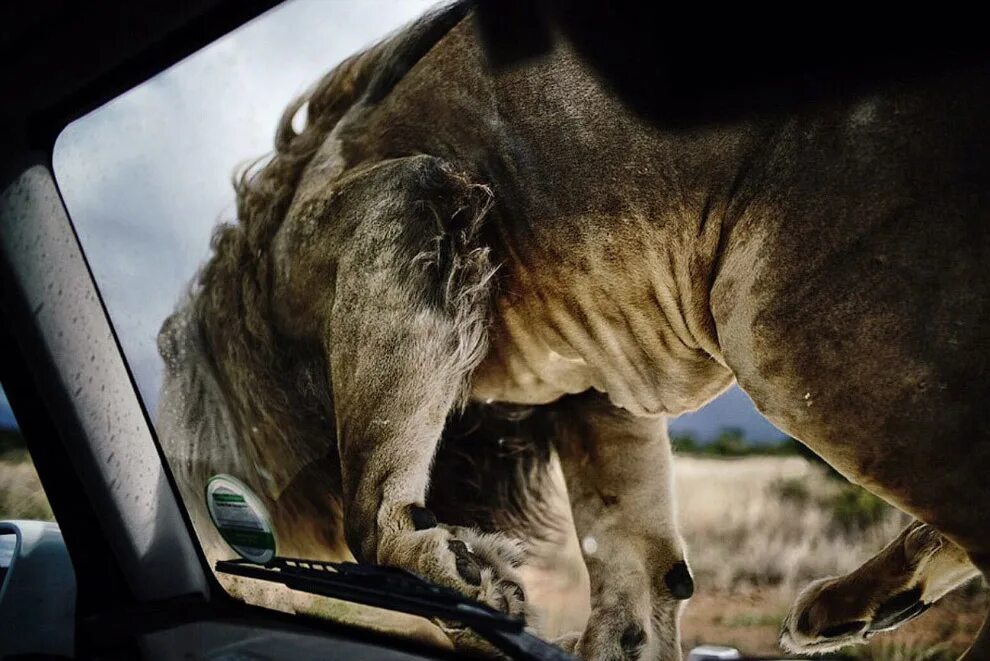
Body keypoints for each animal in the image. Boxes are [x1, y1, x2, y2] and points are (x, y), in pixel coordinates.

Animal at [155, 2, 990, 656]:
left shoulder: (393, 203)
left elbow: (372, 498)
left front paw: (462, 578)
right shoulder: (593, 395)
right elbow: (637, 575)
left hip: (792, 328)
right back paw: (846, 608)